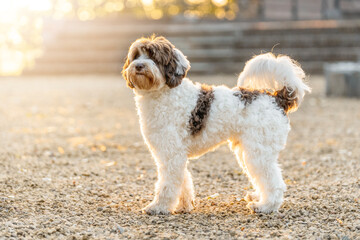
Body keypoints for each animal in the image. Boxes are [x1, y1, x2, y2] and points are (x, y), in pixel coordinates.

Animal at [121, 36, 310, 216]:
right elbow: (183, 180)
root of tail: (277, 97)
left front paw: (158, 207)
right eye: (136, 56)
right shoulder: (173, 154)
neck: (163, 93)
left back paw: (265, 206)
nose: (139, 66)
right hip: (246, 151)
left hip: (258, 152)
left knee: (274, 181)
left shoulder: (171, 154)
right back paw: (258, 197)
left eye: (153, 56)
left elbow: (168, 184)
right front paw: (184, 205)